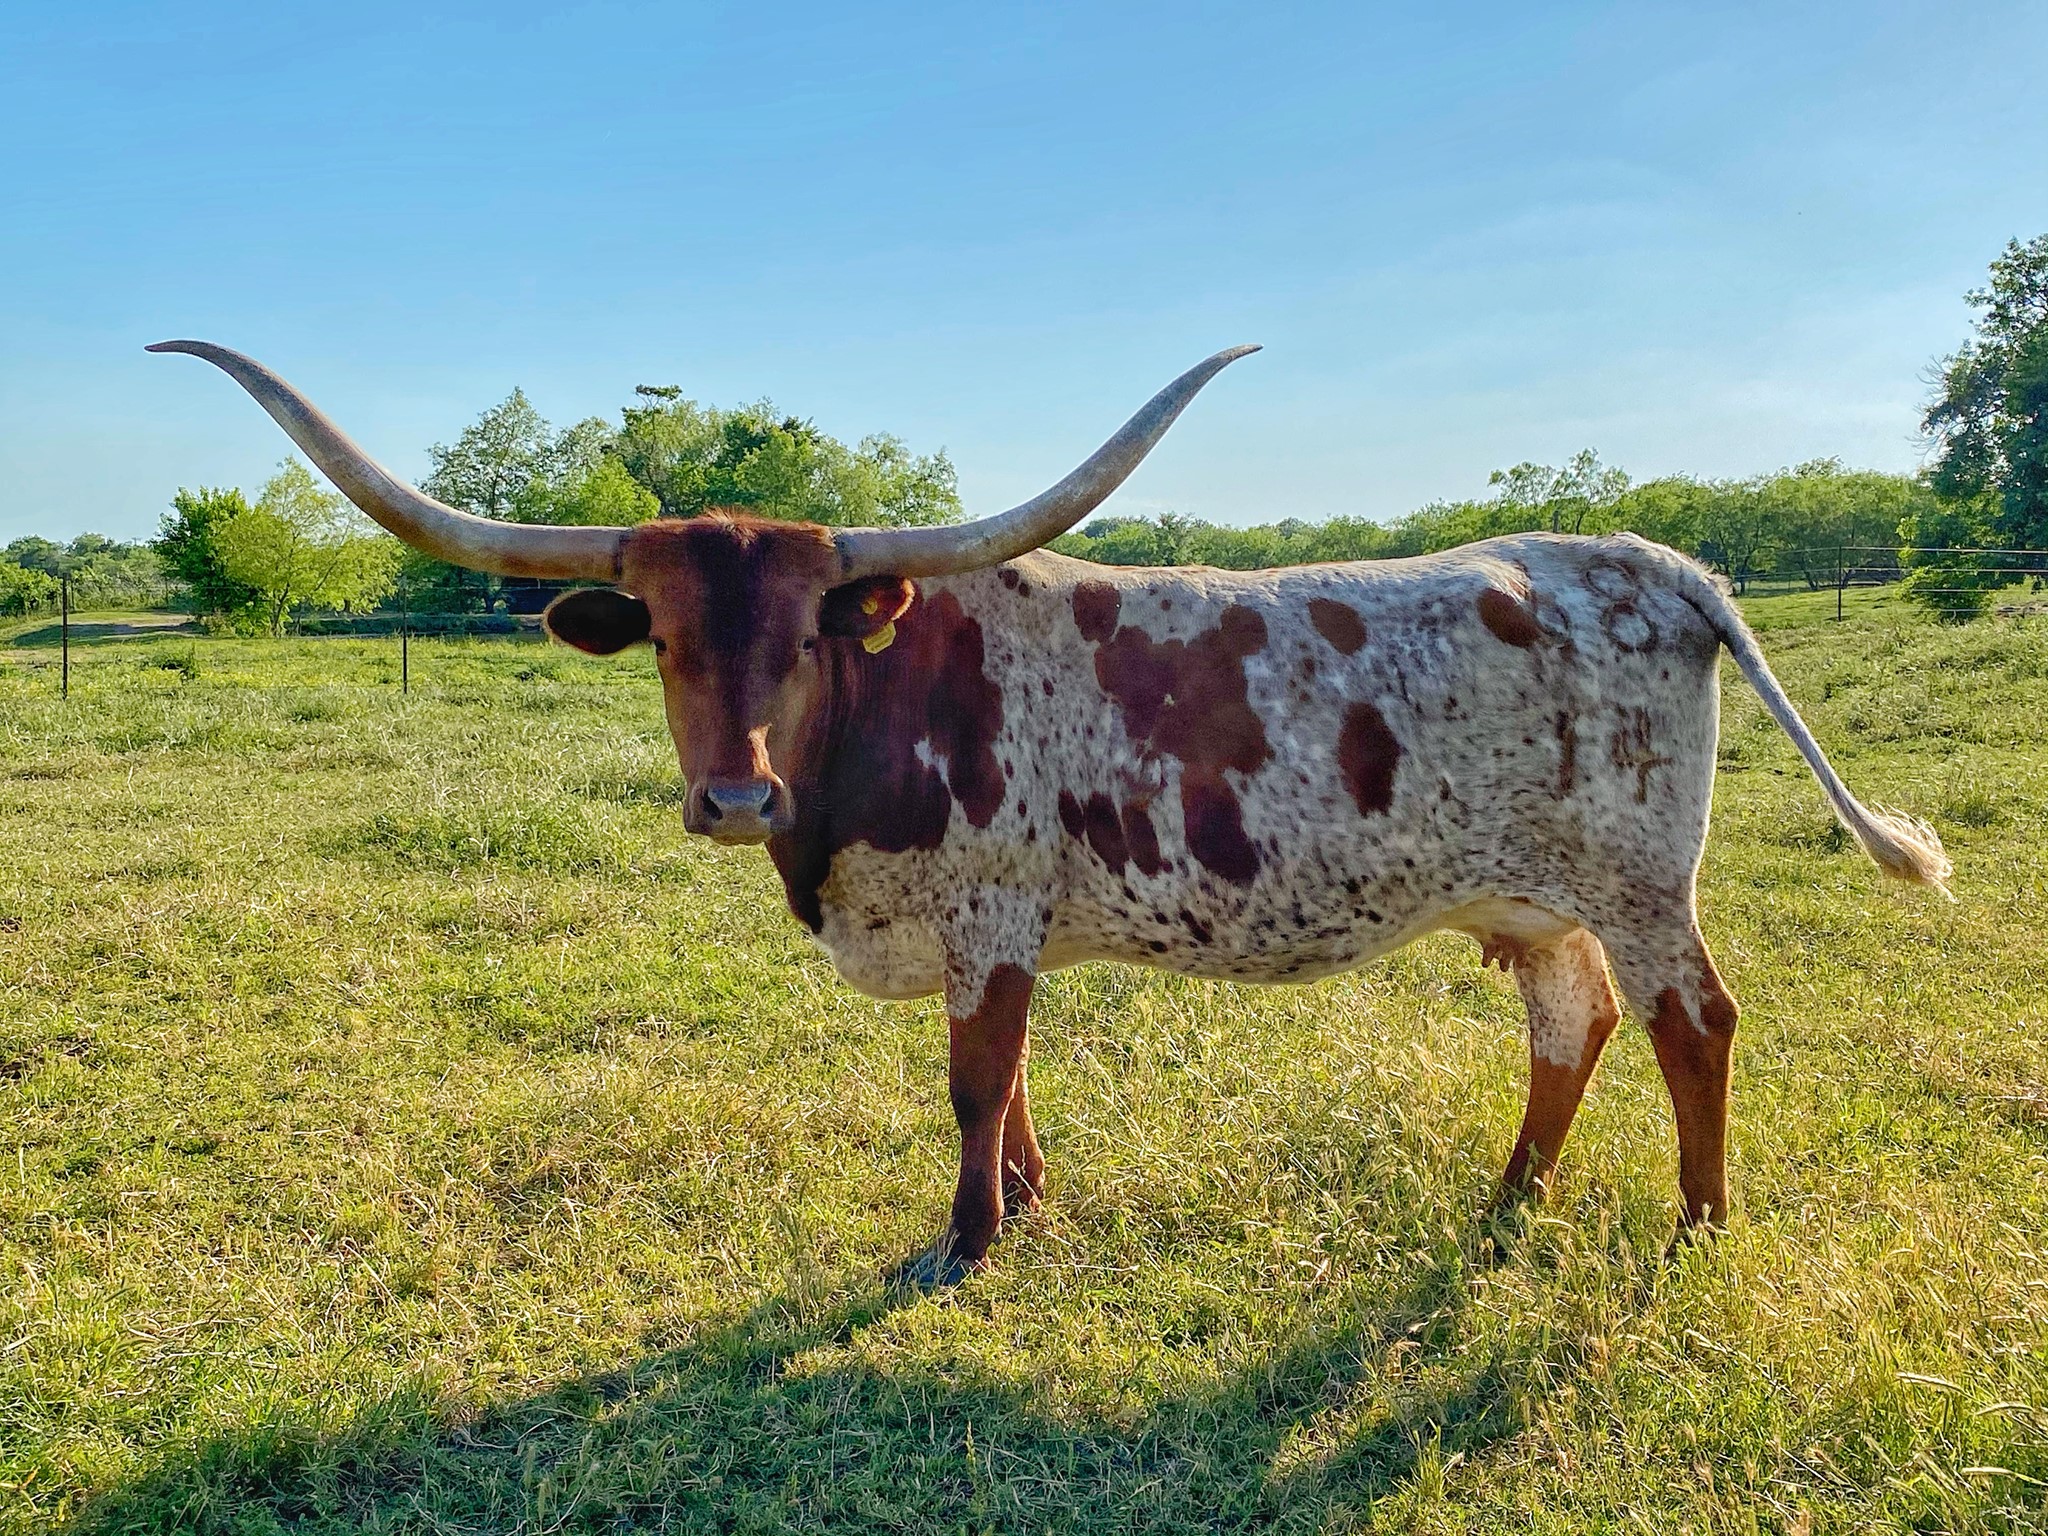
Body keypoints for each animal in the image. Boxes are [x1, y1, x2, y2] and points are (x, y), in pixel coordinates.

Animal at [152, 340, 1951, 1286]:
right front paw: (1021, 1203)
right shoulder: (984, 931)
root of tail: (1662, 562)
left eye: (805, 630)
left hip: (1641, 878)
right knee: (1570, 1021)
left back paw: (1697, 1229)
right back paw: (1512, 1200)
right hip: (1533, 894)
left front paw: (963, 1241)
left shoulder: (991, 912)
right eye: (662, 636)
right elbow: (1002, 1085)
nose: (734, 793)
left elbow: (969, 1082)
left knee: (1693, 1023)